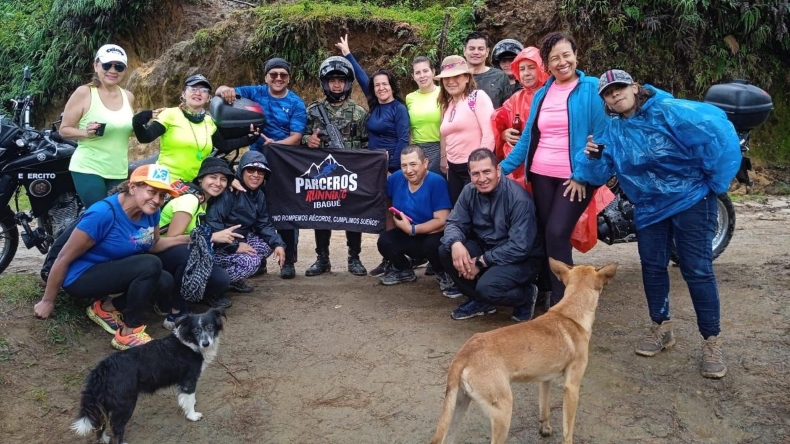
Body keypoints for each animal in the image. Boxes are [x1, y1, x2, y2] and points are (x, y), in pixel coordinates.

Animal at [71, 306, 226, 442]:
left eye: (210, 328)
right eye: (196, 330)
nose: (206, 344)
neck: (189, 341)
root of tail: (103, 368)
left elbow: (186, 399)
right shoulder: (188, 380)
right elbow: (190, 399)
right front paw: (192, 415)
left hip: (105, 403)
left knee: (100, 425)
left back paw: (103, 439)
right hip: (125, 403)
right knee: (117, 427)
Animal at [434, 256, 620, 444]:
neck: (569, 313)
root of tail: (464, 354)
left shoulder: (545, 380)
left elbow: (544, 407)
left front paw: (544, 429)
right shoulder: (572, 387)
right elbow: (568, 429)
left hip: (459, 407)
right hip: (503, 412)